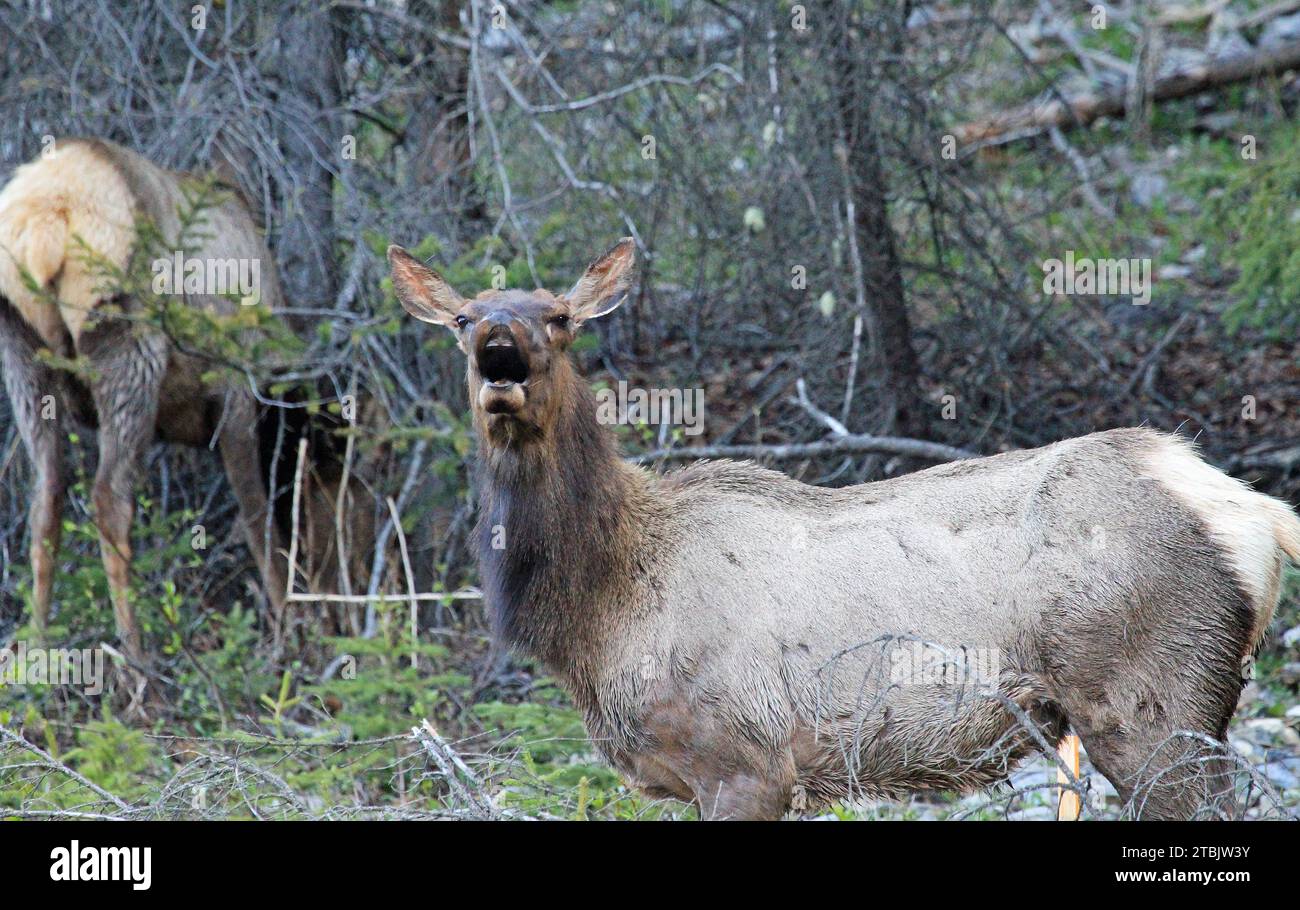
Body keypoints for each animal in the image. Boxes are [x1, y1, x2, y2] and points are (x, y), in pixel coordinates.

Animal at [387, 237, 1300, 821]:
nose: (501, 351)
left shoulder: (742, 759)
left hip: (1151, 696)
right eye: (464, 319)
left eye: (560, 317)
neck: (598, 611)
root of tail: (1259, 511)